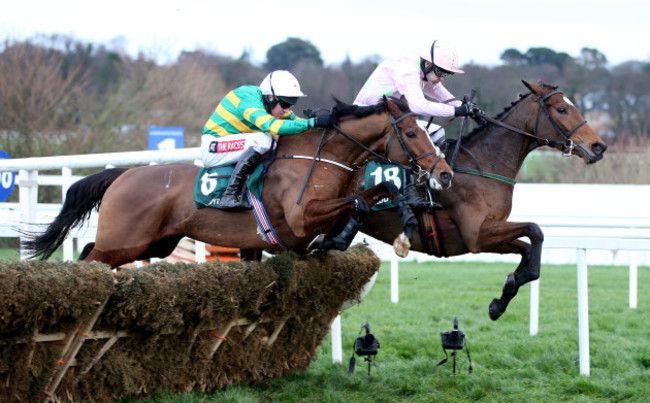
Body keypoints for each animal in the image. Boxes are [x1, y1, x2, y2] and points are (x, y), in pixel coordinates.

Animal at [24, 97, 450, 268]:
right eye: (412, 133)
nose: (444, 172)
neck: (321, 158)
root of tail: (124, 174)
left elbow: (379, 193)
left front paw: (404, 230)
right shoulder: (301, 218)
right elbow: (358, 204)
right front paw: (334, 241)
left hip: (152, 243)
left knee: (89, 251)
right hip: (125, 240)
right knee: (89, 259)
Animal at [352, 81, 604, 322]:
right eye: (562, 109)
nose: (599, 146)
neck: (483, 165)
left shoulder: (490, 231)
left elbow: (527, 249)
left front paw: (502, 299)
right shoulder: (475, 235)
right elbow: (535, 232)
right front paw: (511, 284)